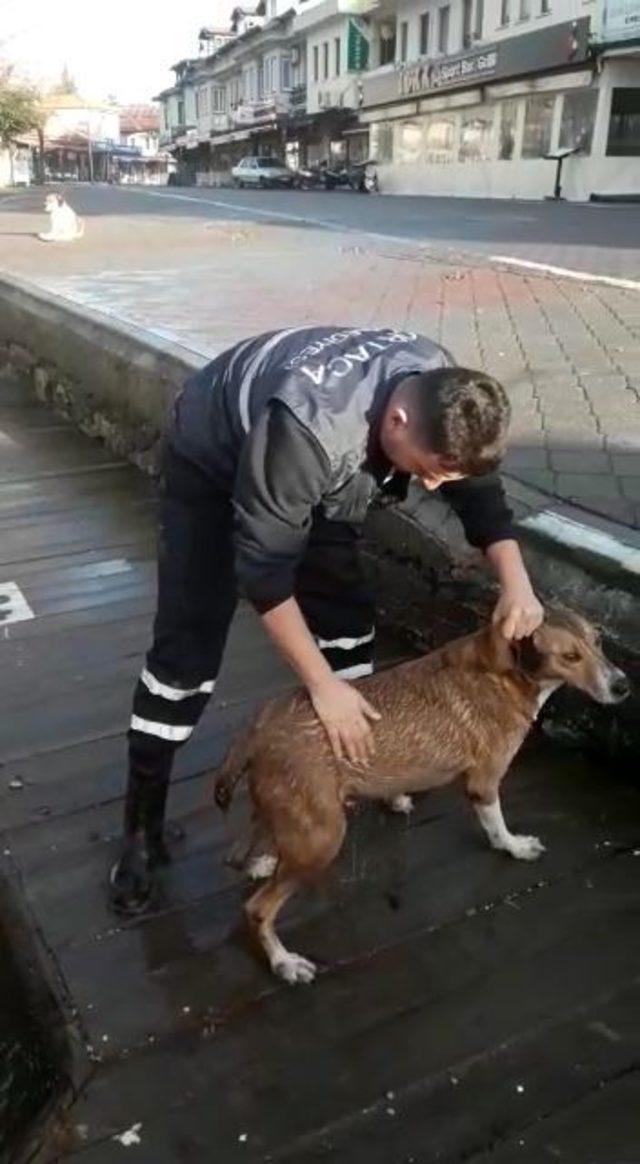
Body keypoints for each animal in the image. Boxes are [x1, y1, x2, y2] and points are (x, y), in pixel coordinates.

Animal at [217, 609, 633, 982]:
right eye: (570, 657)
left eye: (598, 641)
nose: (623, 686)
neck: (504, 668)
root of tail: (258, 728)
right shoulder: (484, 781)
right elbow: (496, 826)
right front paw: (513, 846)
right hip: (322, 836)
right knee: (257, 908)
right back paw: (283, 962)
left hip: (293, 811)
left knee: (240, 849)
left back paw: (261, 862)